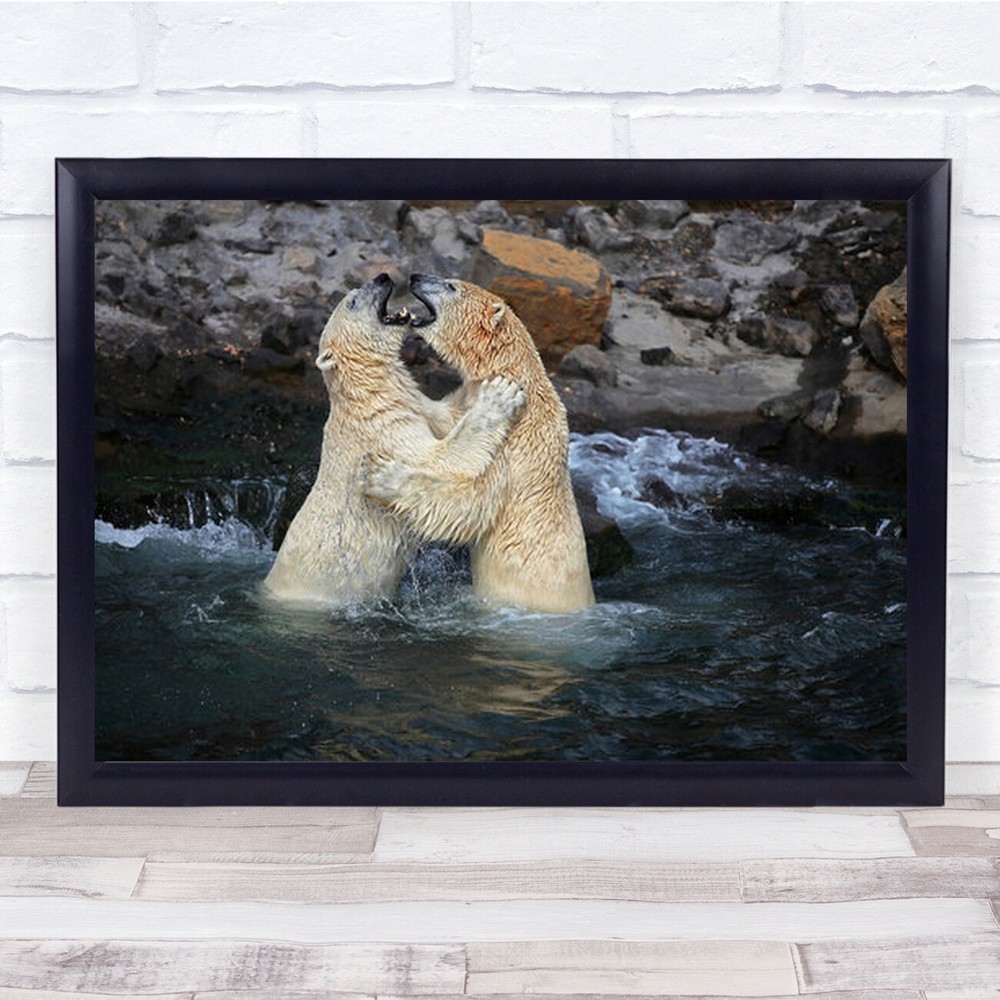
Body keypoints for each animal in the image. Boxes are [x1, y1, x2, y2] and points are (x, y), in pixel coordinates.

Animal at [262, 273, 525, 608]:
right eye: (352, 300)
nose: (382, 277)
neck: (368, 394)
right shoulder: (383, 431)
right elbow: (439, 460)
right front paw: (499, 397)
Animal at [363, 274, 595, 614]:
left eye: (451, 286)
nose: (416, 276)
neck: (515, 377)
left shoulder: (514, 446)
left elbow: (470, 504)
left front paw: (382, 477)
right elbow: (449, 419)